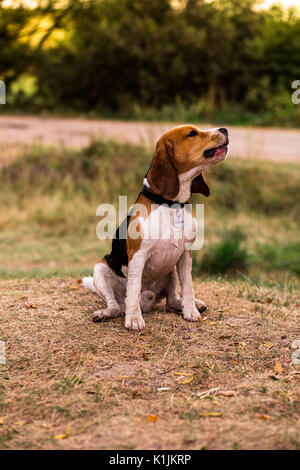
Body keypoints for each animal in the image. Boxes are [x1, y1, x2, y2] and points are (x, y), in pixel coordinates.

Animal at [83, 125, 229, 330]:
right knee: (116, 304)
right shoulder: (138, 256)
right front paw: (134, 319)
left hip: (172, 268)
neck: (171, 205)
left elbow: (188, 286)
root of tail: (149, 302)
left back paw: (187, 304)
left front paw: (190, 310)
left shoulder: (185, 254)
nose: (224, 129)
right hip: (100, 269)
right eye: (192, 133)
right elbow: (133, 289)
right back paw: (107, 313)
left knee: (171, 300)